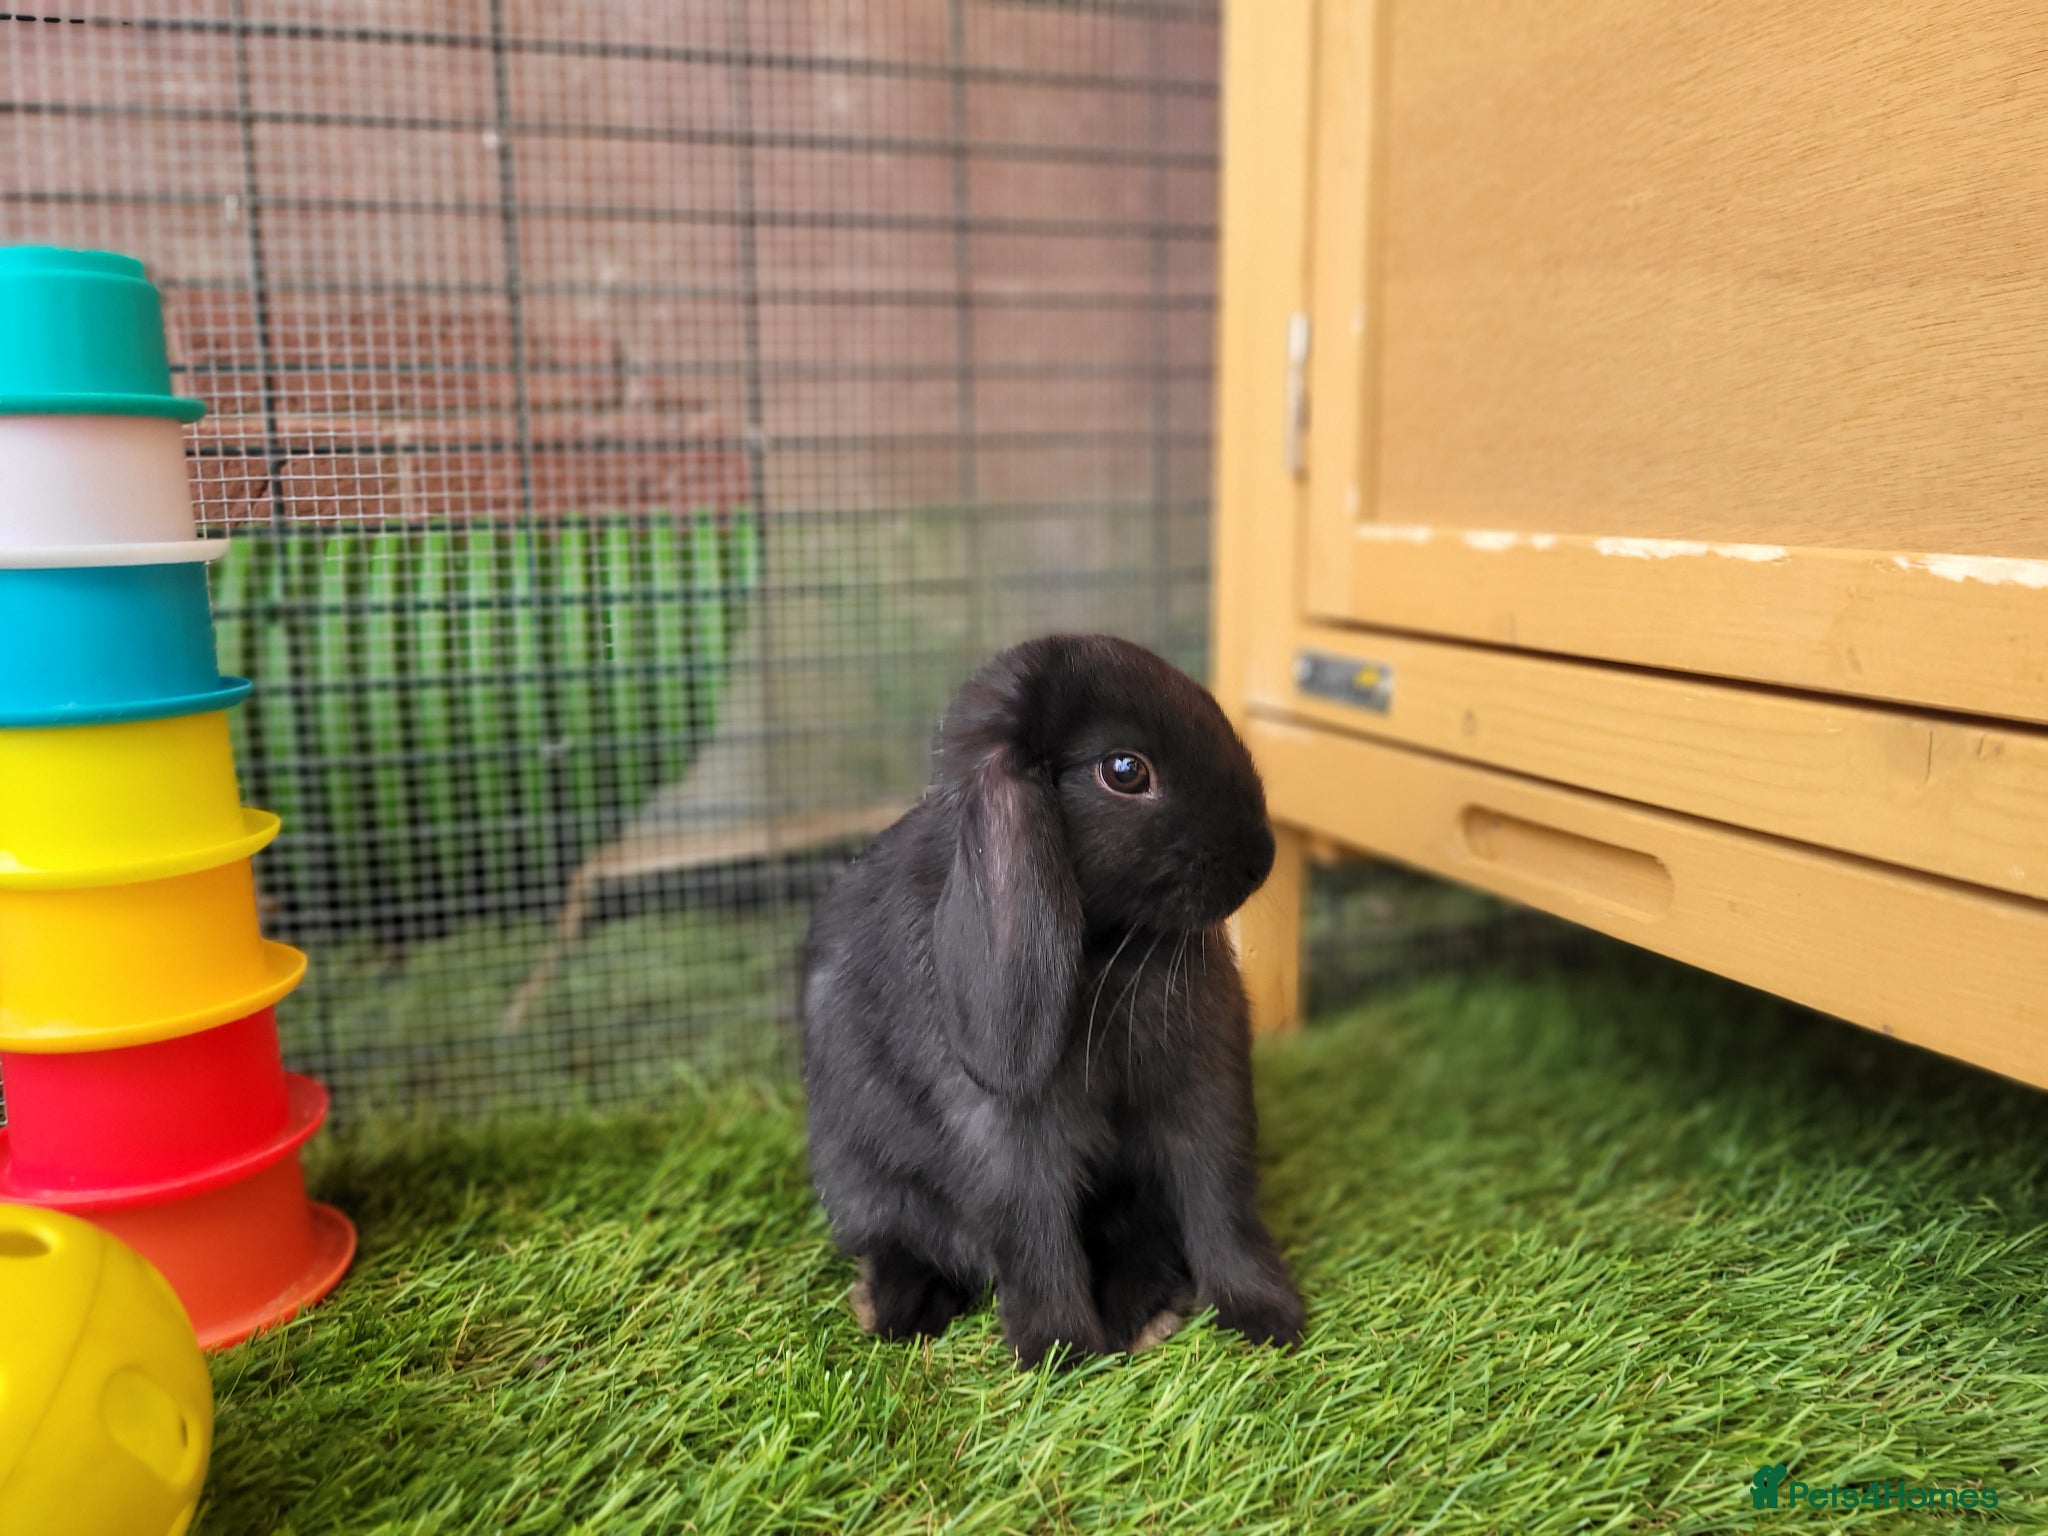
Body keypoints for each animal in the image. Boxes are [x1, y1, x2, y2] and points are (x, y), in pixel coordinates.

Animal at [801, 634, 1303, 1368]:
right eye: (1124, 770)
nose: (1259, 858)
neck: (1105, 948)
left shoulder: (1205, 1089)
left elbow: (1221, 1202)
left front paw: (1267, 1319)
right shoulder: (1006, 1131)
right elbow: (1034, 1233)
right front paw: (1057, 1354)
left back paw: (1140, 1311)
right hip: (859, 1178)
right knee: (905, 1240)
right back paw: (897, 1310)